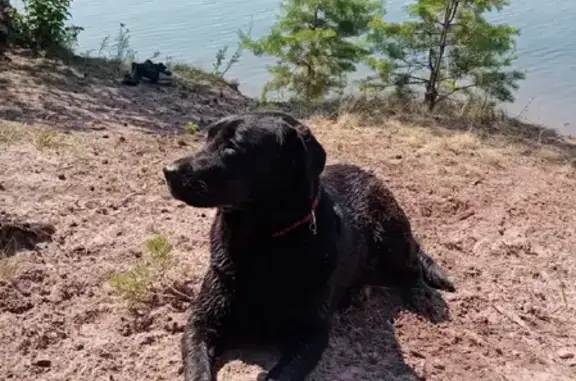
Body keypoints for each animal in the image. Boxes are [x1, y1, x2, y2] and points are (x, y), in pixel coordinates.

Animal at [162, 110, 454, 380]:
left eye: (232, 147)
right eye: (208, 138)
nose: (169, 171)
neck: (263, 240)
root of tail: (366, 173)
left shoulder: (311, 336)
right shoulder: (201, 323)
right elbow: (198, 370)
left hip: (391, 238)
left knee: (412, 264)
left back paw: (421, 295)